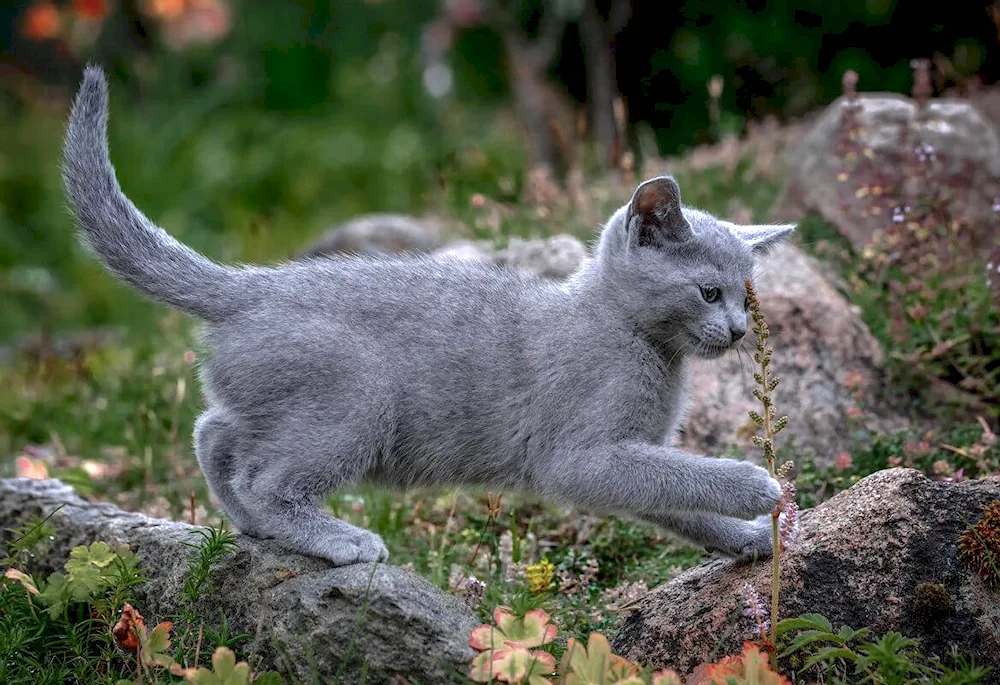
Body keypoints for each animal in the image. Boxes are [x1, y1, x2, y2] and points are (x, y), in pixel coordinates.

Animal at [62, 67, 796, 564]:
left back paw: (248, 524)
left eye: (745, 294)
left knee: (213, 432)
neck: (639, 340)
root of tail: (253, 285)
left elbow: (670, 500)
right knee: (264, 475)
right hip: (355, 397)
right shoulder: (581, 454)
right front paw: (757, 486)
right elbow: (676, 475)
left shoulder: (626, 454)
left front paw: (747, 540)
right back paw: (335, 538)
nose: (738, 330)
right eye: (708, 293)